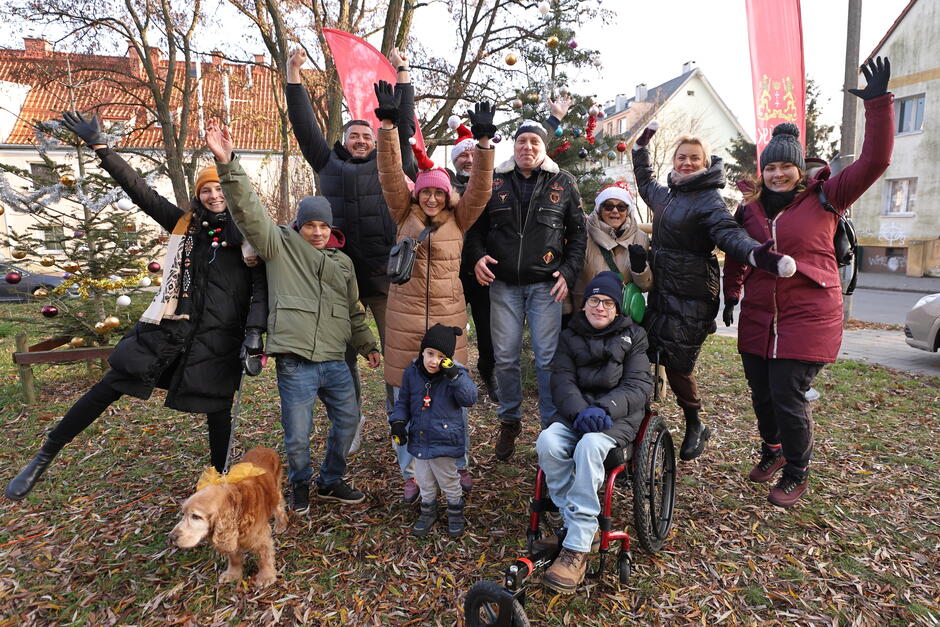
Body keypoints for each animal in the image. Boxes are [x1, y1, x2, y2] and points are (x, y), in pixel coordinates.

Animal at [169, 448, 286, 588]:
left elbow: (264, 558)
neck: (237, 510)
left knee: (279, 508)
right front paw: (232, 574)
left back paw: (281, 525)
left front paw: (266, 577)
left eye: (196, 516)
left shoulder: (261, 538)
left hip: (275, 492)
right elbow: (234, 558)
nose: (171, 537)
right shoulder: (231, 538)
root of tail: (264, 448)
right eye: (184, 513)